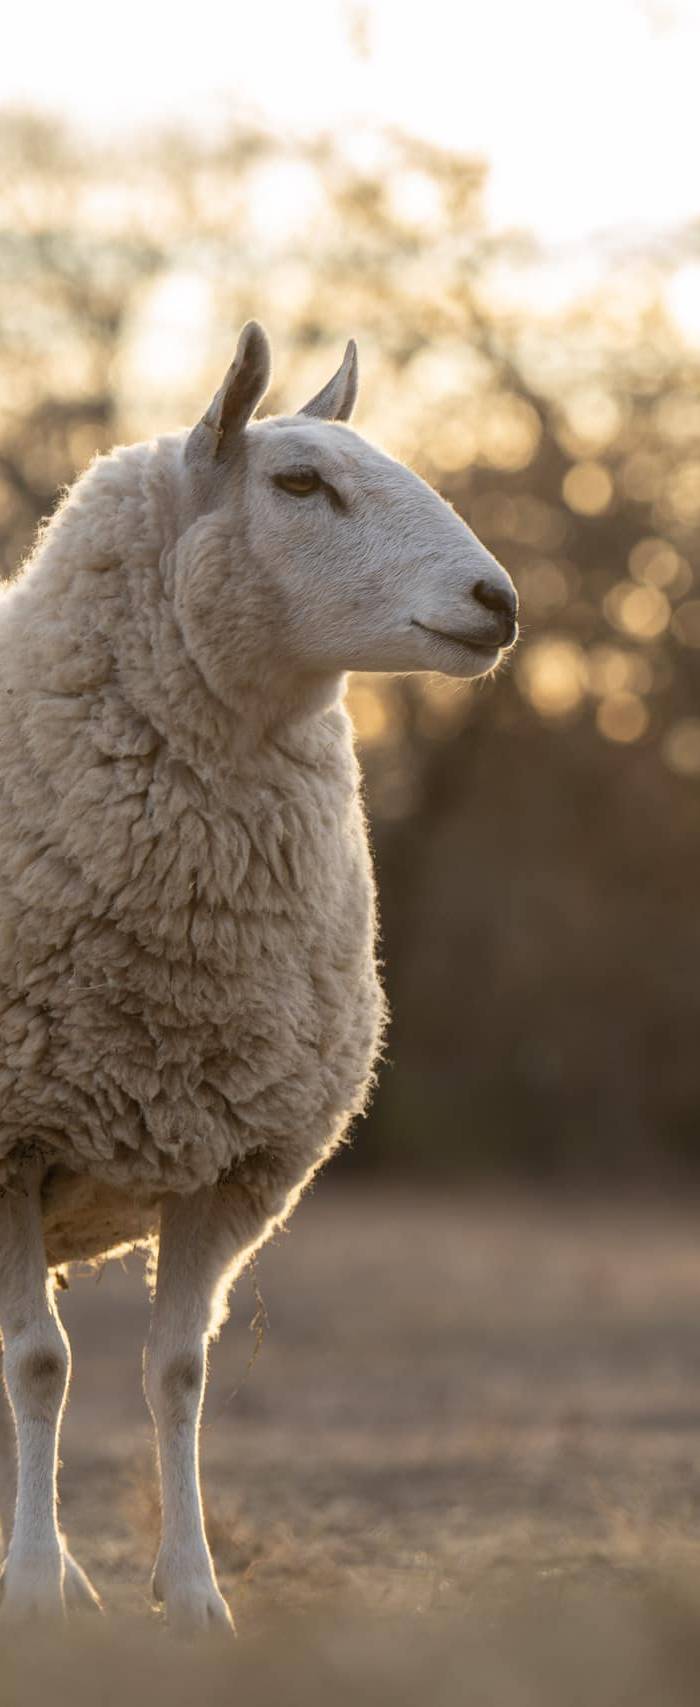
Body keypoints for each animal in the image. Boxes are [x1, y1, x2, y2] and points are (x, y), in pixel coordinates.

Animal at [0, 322, 518, 1631]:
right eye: (298, 483)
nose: (498, 603)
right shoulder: (10, 1141)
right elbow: (39, 1363)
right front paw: (32, 1592)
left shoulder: (231, 1160)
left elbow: (176, 1372)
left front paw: (191, 1598)